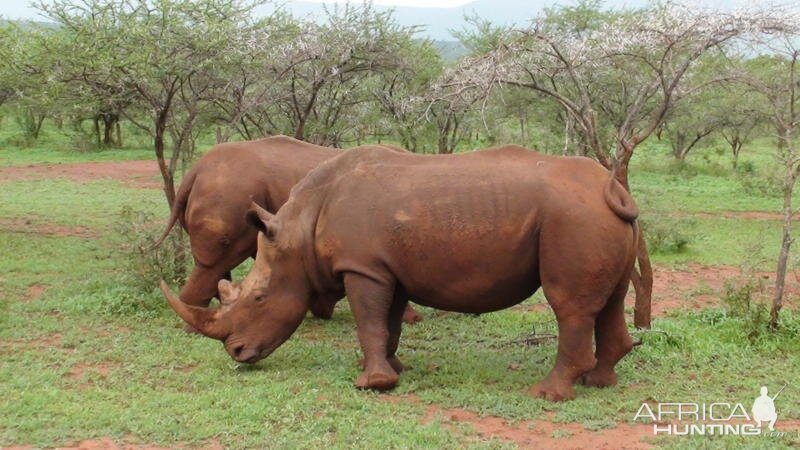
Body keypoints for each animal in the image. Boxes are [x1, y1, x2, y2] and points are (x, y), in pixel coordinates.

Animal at [161, 146, 636, 402]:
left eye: (259, 299)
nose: (237, 353)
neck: (300, 229)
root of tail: (610, 189)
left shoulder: (362, 267)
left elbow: (368, 322)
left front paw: (370, 384)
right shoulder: (385, 267)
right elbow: (387, 323)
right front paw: (391, 369)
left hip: (572, 218)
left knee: (568, 306)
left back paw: (547, 393)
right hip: (595, 218)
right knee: (609, 301)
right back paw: (599, 382)